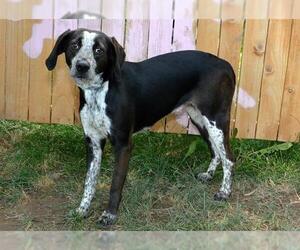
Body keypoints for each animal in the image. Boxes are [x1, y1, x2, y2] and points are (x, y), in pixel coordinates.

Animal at [45, 27, 236, 227]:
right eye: (75, 45)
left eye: (99, 50)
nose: (82, 66)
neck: (101, 91)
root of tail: (226, 64)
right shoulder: (93, 143)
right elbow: (89, 181)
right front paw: (83, 209)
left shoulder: (123, 145)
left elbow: (115, 184)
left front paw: (109, 214)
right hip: (199, 119)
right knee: (216, 151)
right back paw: (209, 175)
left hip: (216, 119)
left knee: (229, 158)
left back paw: (225, 192)